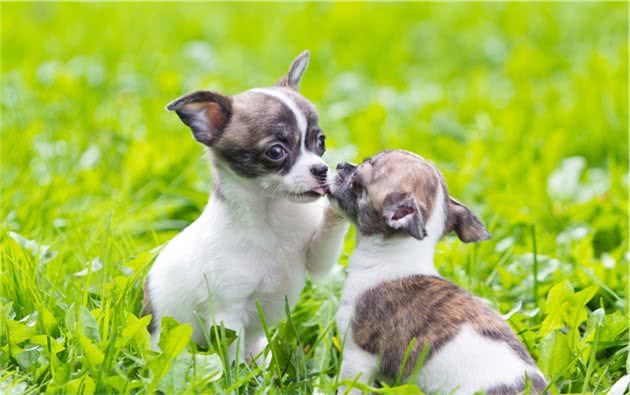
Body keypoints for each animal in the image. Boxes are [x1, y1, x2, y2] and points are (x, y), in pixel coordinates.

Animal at [143, 51, 348, 360]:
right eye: (276, 151)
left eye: (320, 142)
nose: (322, 169)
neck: (271, 214)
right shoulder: (228, 313)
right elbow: (233, 357)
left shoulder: (317, 257)